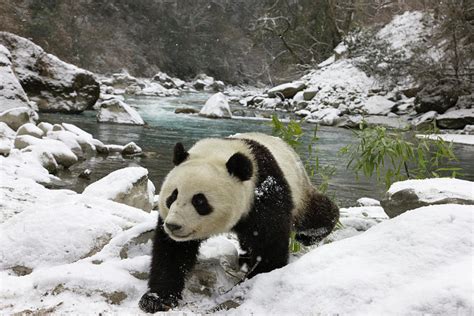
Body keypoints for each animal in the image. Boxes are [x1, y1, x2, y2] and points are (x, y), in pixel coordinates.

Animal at [139, 132, 338, 312]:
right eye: (172, 196)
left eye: (200, 201)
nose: (173, 226)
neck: (219, 153)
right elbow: (172, 252)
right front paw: (157, 299)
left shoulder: (265, 193)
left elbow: (269, 244)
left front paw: (256, 278)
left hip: (299, 189)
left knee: (314, 214)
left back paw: (313, 233)